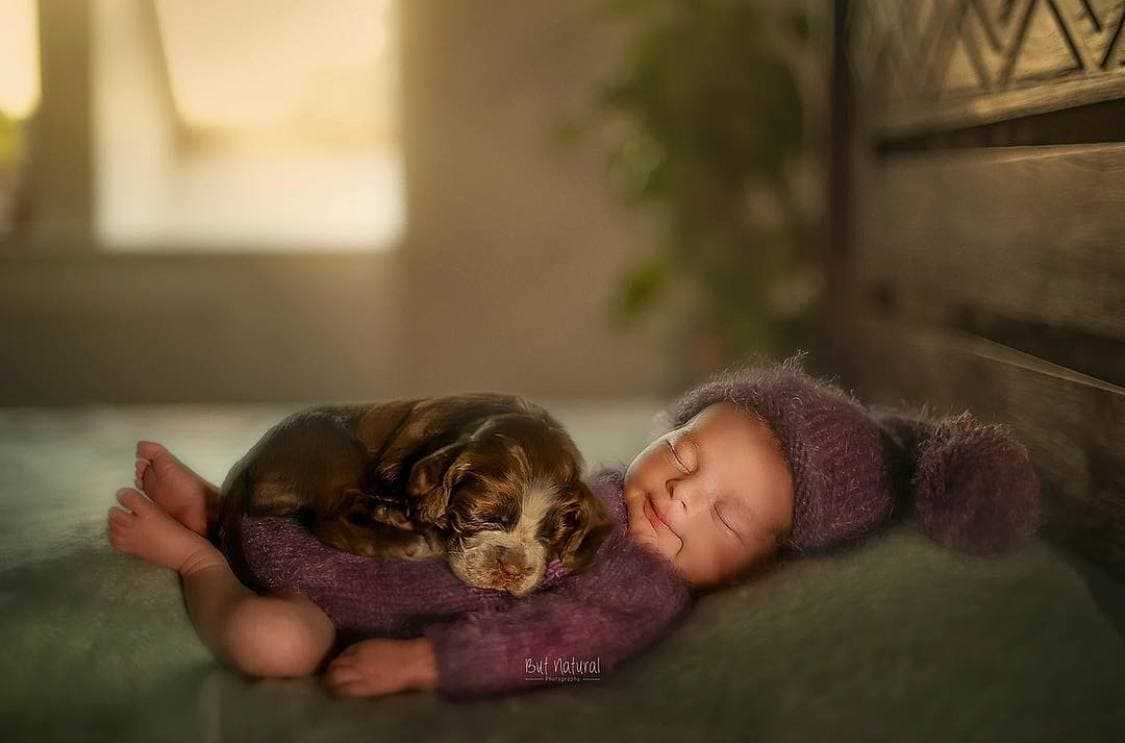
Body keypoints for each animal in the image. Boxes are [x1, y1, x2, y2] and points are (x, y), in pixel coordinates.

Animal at [213, 394, 612, 598]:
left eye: (551, 535)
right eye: (481, 517)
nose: (511, 570)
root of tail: (247, 464)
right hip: (336, 452)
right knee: (328, 521)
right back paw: (405, 540)